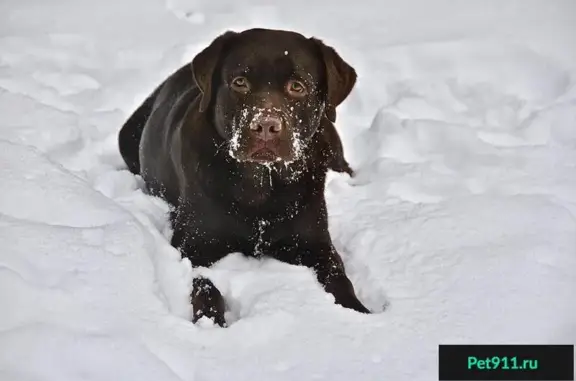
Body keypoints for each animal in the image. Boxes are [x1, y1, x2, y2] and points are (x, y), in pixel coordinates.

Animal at [118, 28, 366, 326]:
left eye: (297, 86)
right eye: (240, 83)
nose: (266, 126)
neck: (260, 187)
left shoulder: (315, 243)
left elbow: (339, 276)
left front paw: (359, 312)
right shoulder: (194, 246)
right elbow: (204, 283)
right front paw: (211, 319)